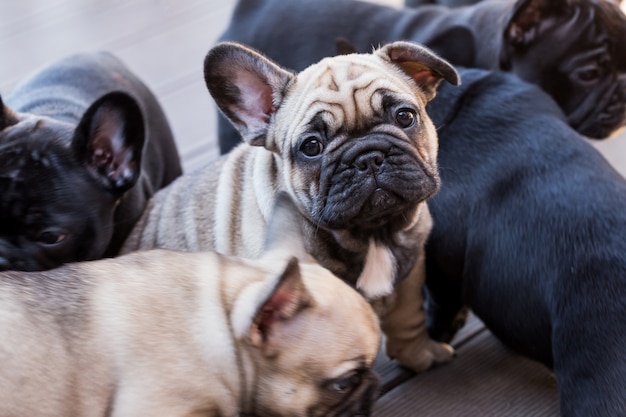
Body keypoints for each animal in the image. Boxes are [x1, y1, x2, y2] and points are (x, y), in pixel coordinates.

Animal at [123, 42, 458, 372]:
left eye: (405, 116)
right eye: (311, 147)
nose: (367, 156)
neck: (372, 233)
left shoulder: (411, 266)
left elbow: (408, 317)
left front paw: (422, 355)